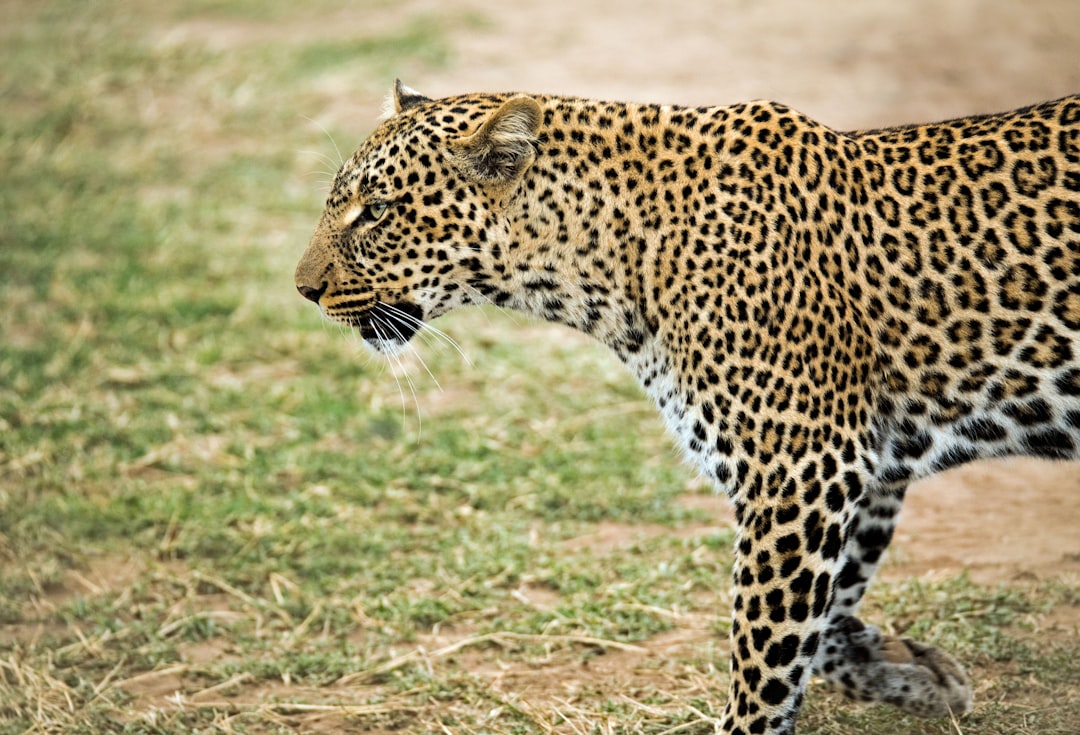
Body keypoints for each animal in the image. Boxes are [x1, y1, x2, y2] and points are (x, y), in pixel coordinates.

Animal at [293, 80, 1080, 733]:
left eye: (377, 212)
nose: (302, 289)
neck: (604, 268)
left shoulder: (800, 467)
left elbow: (765, 649)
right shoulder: (866, 467)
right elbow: (823, 620)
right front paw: (912, 672)